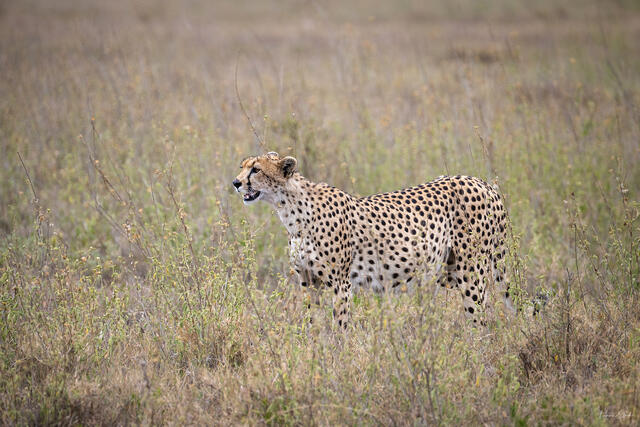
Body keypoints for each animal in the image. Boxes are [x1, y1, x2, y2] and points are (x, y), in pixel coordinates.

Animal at [233, 151, 513, 328]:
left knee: (480, 319)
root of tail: (483, 183)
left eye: (256, 169)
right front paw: (311, 354)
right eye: (242, 166)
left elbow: (340, 325)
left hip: (470, 272)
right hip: (453, 270)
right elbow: (310, 322)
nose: (235, 182)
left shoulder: (341, 283)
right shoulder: (308, 281)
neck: (292, 211)